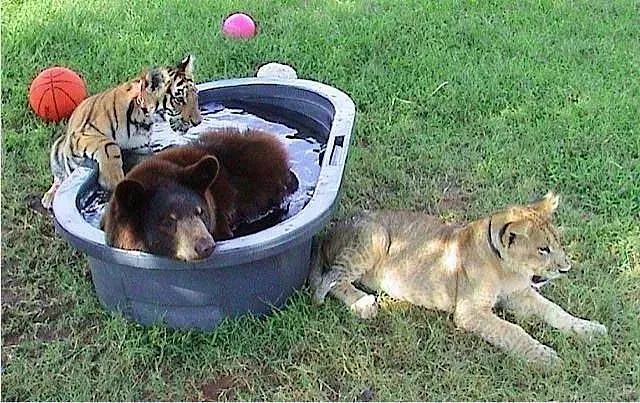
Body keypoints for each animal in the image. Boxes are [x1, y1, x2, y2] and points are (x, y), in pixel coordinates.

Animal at [41, 55, 202, 210]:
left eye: (196, 96)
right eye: (179, 100)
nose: (198, 122)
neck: (142, 119)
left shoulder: (139, 150)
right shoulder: (82, 134)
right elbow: (109, 145)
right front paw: (112, 179)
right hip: (58, 148)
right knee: (59, 178)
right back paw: (49, 197)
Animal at [309, 192, 607, 367]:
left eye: (557, 243)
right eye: (543, 249)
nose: (566, 268)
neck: (506, 268)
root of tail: (330, 230)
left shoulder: (520, 294)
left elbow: (555, 311)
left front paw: (589, 329)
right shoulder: (469, 312)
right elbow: (512, 331)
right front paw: (545, 356)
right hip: (375, 236)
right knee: (327, 282)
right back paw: (363, 304)